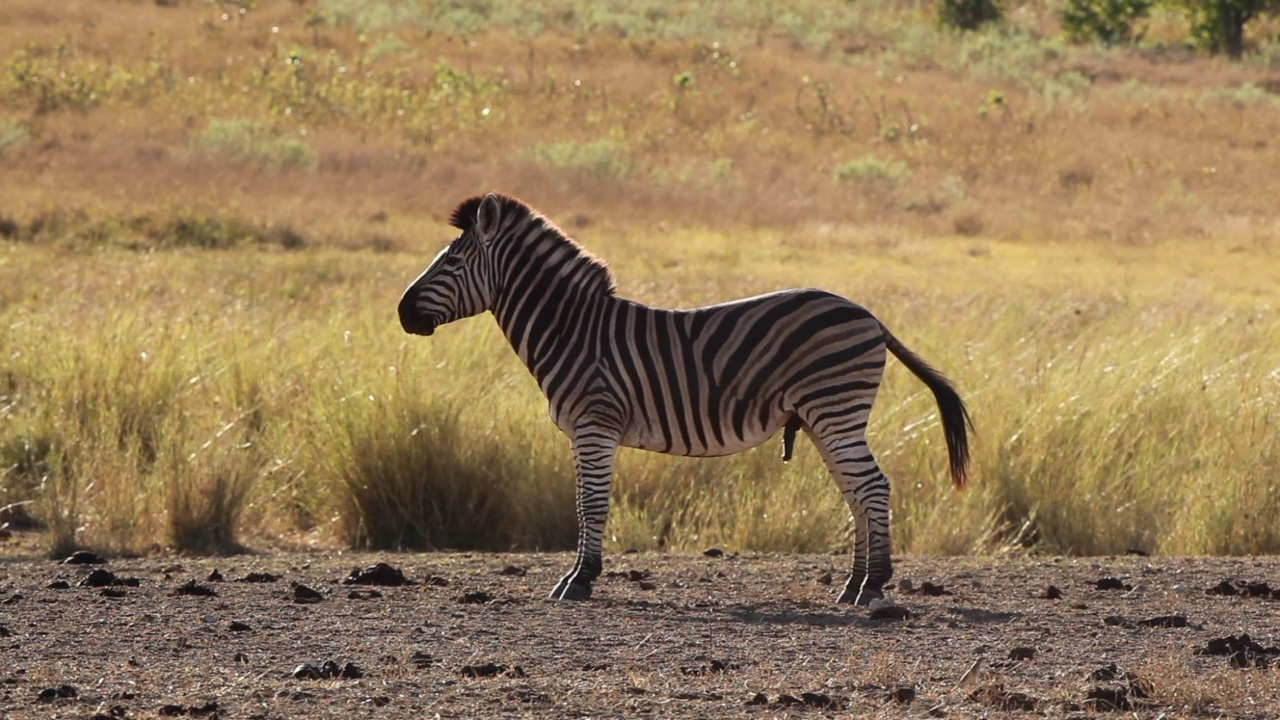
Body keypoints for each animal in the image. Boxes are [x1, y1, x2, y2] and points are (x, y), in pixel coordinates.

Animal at [399, 193, 967, 602]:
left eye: (451, 262)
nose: (402, 313)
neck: (572, 331)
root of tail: (870, 316)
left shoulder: (594, 424)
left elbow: (590, 504)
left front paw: (579, 580)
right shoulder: (585, 431)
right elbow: (583, 503)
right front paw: (579, 575)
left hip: (835, 410)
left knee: (871, 487)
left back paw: (873, 585)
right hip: (826, 417)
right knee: (856, 492)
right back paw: (853, 585)